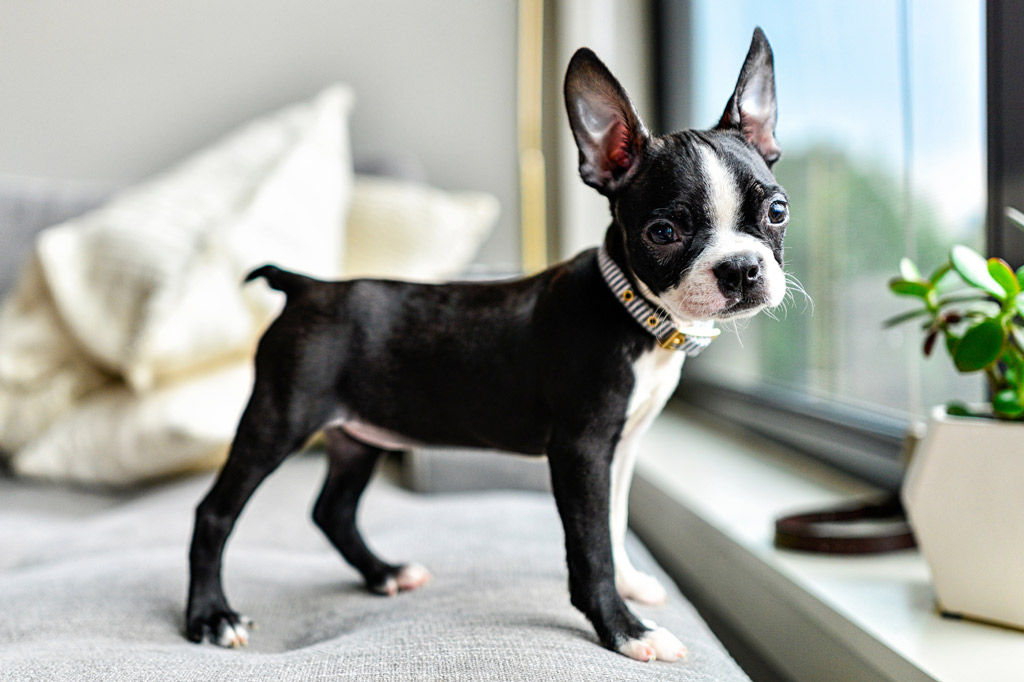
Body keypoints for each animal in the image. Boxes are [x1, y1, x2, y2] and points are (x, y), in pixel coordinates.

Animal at [186, 26, 790, 659]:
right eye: (664, 233)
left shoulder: (621, 447)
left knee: (333, 511)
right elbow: (591, 548)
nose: (741, 268)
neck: (632, 309)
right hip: (279, 420)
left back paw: (384, 573)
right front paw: (624, 629)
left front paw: (632, 587)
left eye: (776, 210)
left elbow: (615, 521)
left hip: (361, 431)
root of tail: (307, 286)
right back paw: (211, 616)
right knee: (214, 514)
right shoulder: (581, 452)